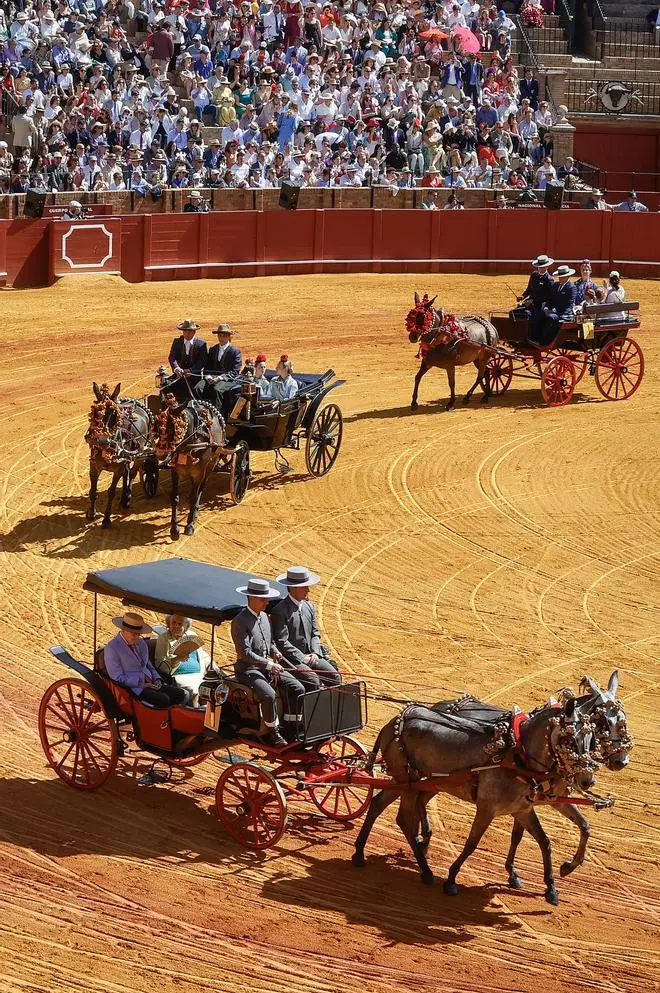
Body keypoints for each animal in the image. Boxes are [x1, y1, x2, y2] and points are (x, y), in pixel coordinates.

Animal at [85, 384, 156, 532]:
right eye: (95, 413)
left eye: (114, 415)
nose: (103, 440)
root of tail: (138, 405)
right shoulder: (94, 466)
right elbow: (93, 490)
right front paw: (91, 513)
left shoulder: (117, 469)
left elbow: (111, 492)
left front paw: (106, 519)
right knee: (126, 473)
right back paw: (123, 497)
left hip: (141, 454)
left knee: (133, 473)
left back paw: (127, 498)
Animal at [153, 394, 228, 540]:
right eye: (157, 426)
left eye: (171, 428)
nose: (160, 452)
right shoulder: (175, 472)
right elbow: (175, 498)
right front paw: (174, 529)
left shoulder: (199, 473)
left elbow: (194, 497)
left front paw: (189, 525)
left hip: (210, 465)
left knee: (201, 488)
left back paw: (195, 513)